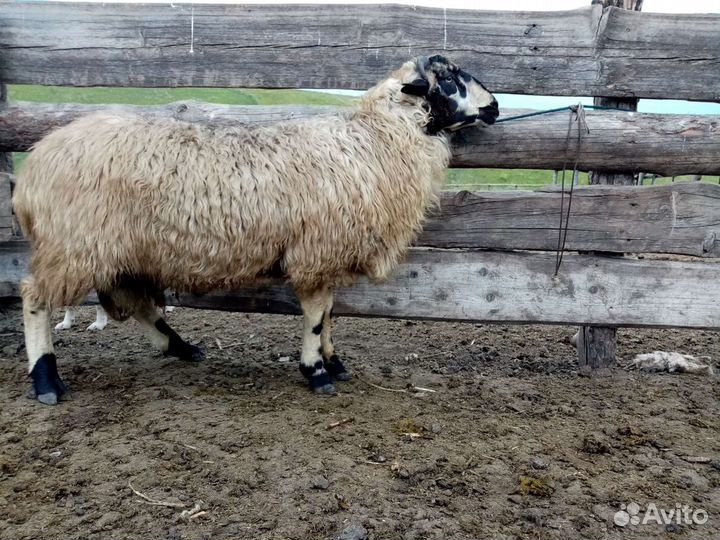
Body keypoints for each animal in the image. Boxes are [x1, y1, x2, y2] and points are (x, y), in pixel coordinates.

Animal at [13, 54, 498, 405]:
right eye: (449, 78)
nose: (494, 106)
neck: (374, 142)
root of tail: (35, 165)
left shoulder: (326, 255)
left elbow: (330, 313)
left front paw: (334, 363)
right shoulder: (315, 251)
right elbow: (316, 315)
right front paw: (316, 371)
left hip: (117, 248)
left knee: (134, 301)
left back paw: (181, 348)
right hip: (75, 242)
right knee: (34, 297)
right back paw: (46, 382)